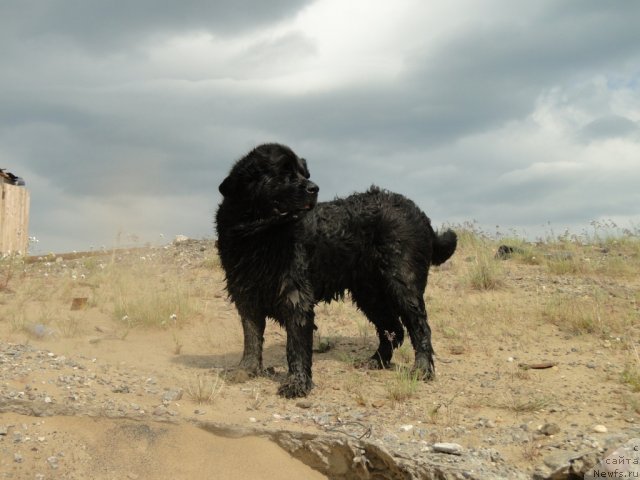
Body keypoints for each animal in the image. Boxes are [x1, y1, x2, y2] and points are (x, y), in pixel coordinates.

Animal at [218, 143, 458, 398]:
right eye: (284, 173)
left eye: (305, 173)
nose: (314, 188)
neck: (259, 235)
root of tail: (417, 210)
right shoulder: (245, 293)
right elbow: (251, 338)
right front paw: (246, 370)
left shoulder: (296, 295)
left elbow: (295, 345)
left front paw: (297, 383)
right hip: (370, 293)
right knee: (392, 328)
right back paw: (376, 360)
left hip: (402, 282)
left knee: (419, 327)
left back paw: (422, 369)